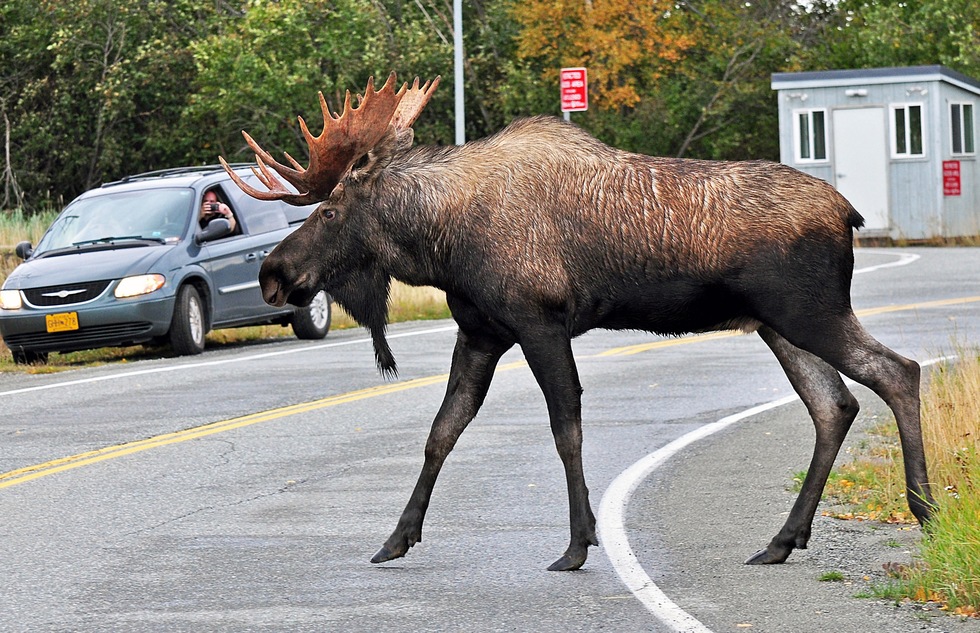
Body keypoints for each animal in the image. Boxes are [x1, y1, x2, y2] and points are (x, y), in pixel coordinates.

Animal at [222, 71, 936, 572]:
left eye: (331, 210)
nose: (273, 274)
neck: (440, 244)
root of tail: (849, 213)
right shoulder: (480, 331)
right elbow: (441, 432)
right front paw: (396, 538)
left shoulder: (539, 322)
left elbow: (566, 428)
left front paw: (576, 544)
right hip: (776, 324)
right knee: (834, 405)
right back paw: (782, 541)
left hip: (809, 310)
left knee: (897, 371)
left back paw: (924, 509)